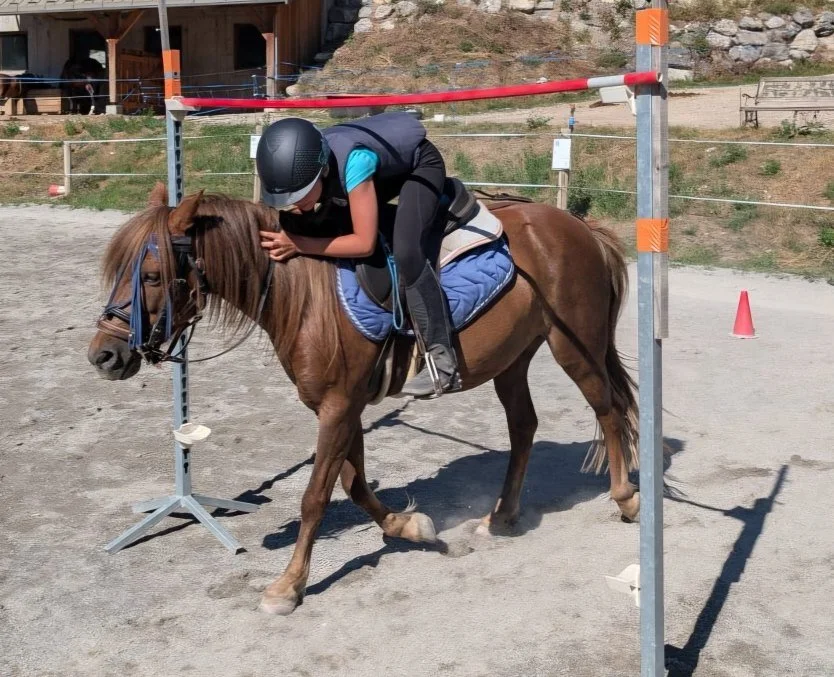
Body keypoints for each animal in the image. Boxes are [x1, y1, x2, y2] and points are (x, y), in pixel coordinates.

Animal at [87, 183, 640, 615]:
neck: (304, 293)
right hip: (513, 360)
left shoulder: (337, 407)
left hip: (575, 347)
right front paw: (408, 526)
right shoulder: (343, 405)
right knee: (524, 426)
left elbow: (315, 496)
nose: (104, 356)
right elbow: (352, 483)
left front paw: (288, 586)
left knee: (608, 410)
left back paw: (625, 498)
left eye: (152, 276)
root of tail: (581, 227)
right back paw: (503, 515)